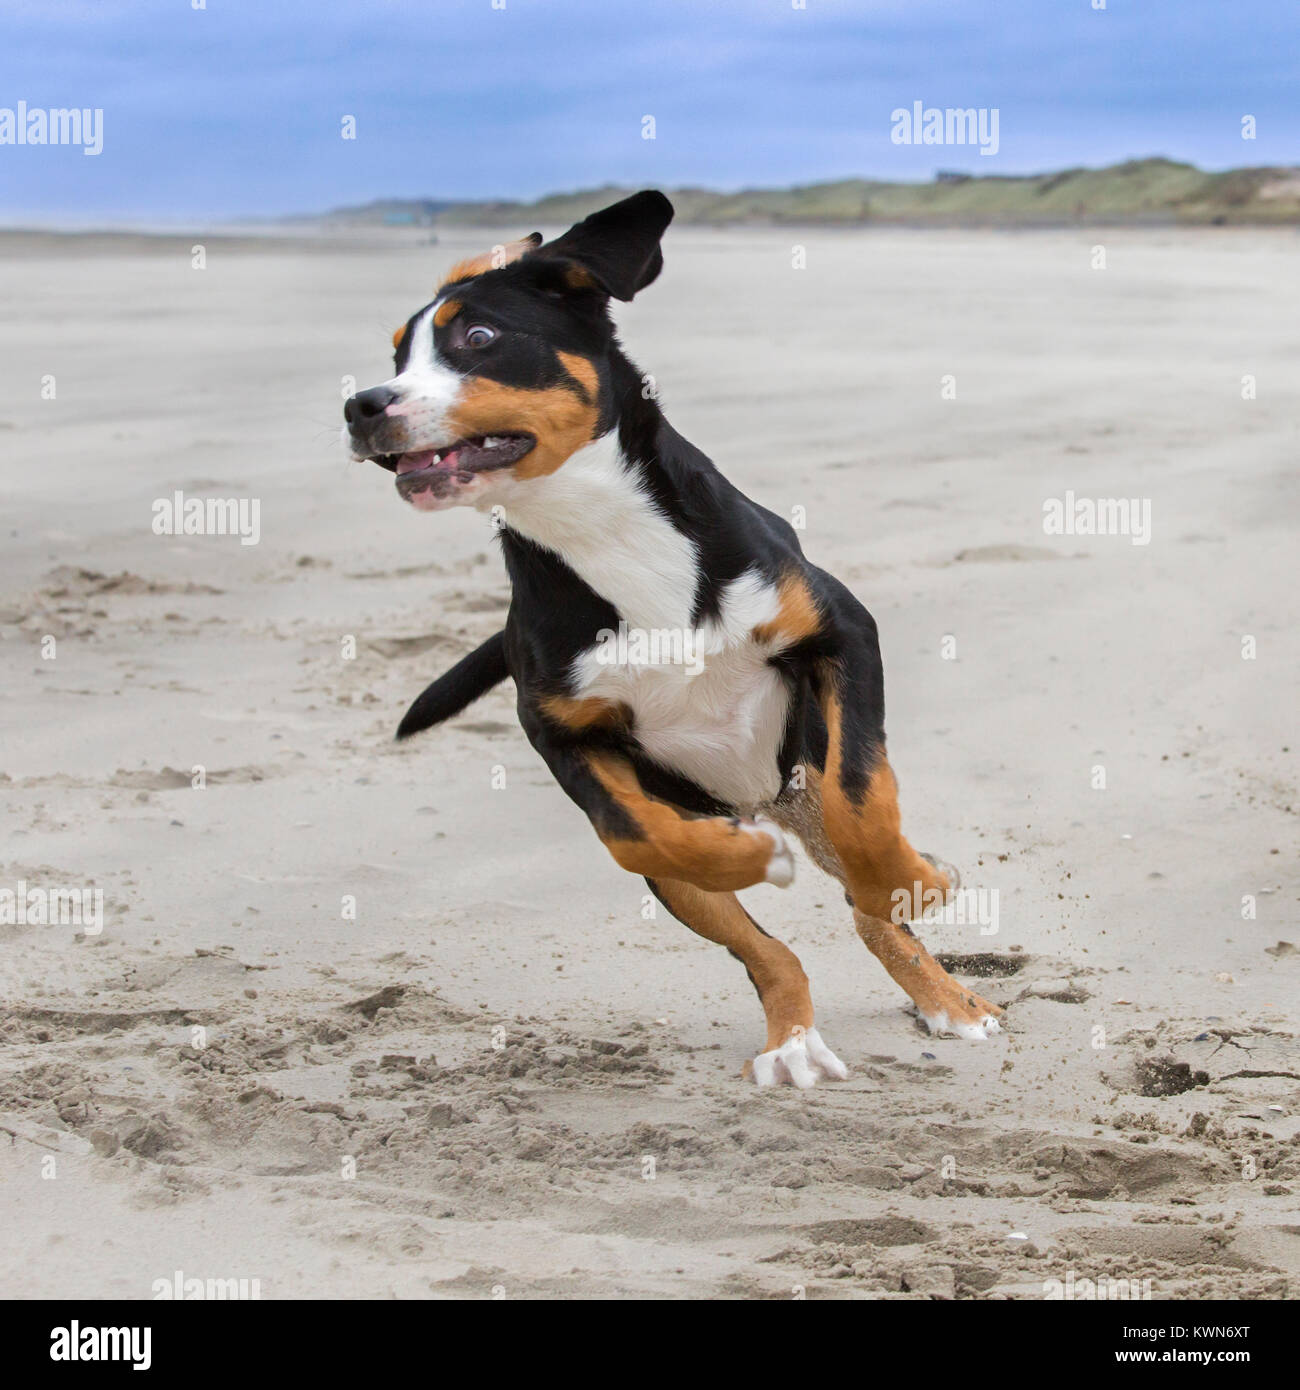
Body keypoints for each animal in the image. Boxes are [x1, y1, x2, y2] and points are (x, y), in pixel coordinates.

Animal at [340, 193, 1001, 1084]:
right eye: (396, 356)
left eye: (477, 336)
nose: (363, 406)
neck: (600, 531)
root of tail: (764, 798)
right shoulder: (563, 734)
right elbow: (635, 835)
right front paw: (755, 860)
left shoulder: (842, 633)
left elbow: (864, 804)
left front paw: (923, 882)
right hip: (688, 866)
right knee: (766, 946)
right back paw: (793, 1038)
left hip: (806, 767)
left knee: (866, 893)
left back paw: (947, 993)